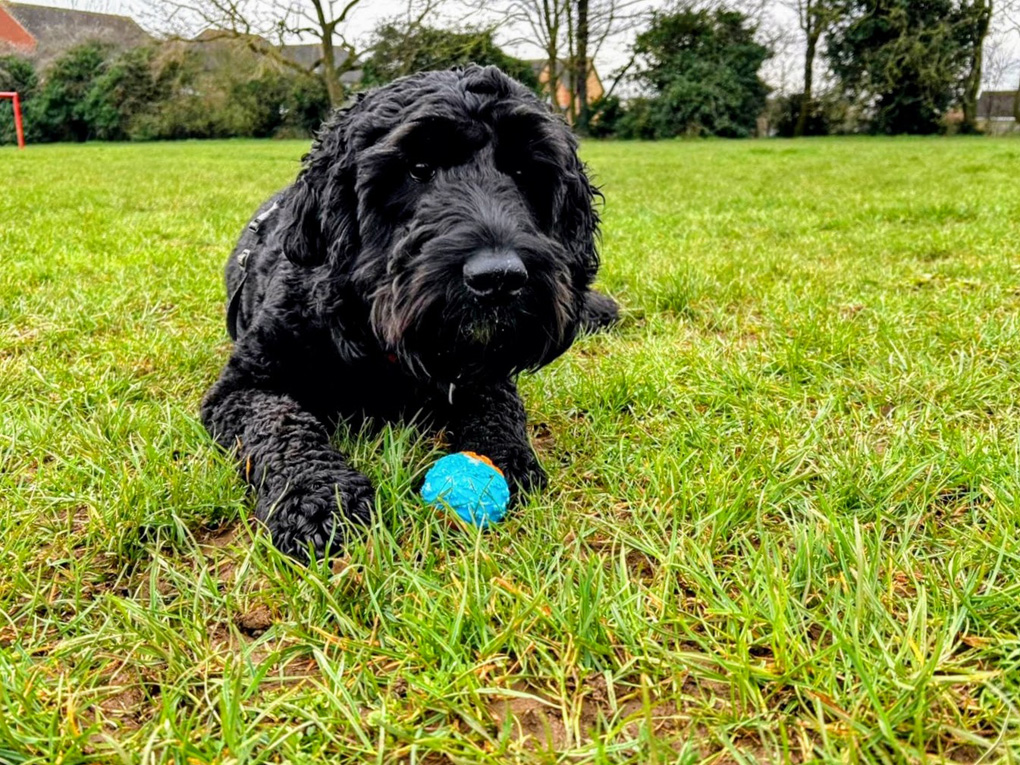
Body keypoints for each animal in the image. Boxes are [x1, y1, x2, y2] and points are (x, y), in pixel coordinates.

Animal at [198, 65, 612, 558]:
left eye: (522, 170)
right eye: (418, 169)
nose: (498, 278)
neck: (374, 339)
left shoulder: (481, 373)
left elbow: (499, 407)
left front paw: (505, 456)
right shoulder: (242, 388)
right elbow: (282, 426)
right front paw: (318, 495)